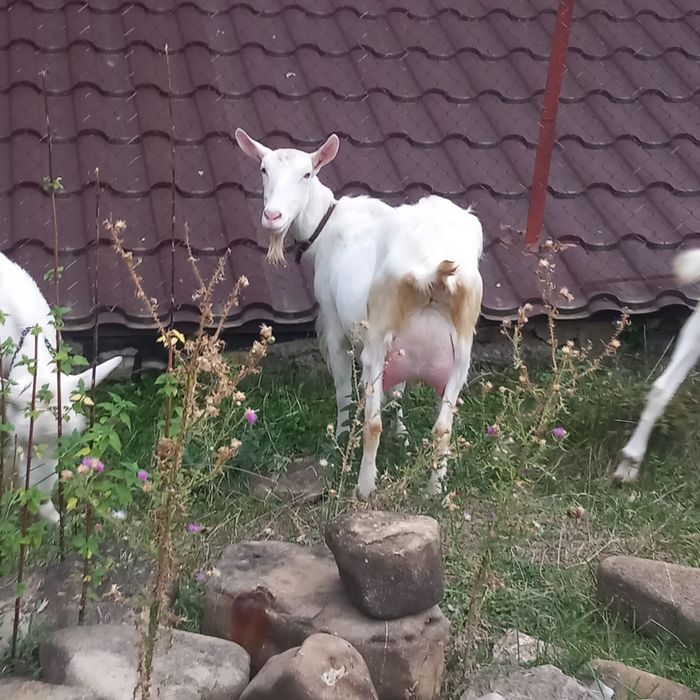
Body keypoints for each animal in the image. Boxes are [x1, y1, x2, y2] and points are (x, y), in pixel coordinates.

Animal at [235, 129, 483, 498]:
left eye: (306, 173)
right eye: (263, 169)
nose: (273, 216)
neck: (327, 224)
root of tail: (432, 271)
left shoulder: (334, 326)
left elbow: (342, 391)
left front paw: (338, 438)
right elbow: (398, 393)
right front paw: (402, 434)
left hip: (377, 342)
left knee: (372, 422)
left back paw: (364, 486)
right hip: (460, 353)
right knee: (443, 428)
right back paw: (434, 489)